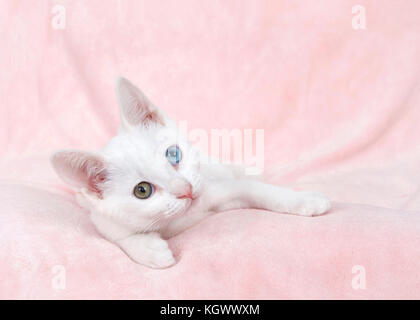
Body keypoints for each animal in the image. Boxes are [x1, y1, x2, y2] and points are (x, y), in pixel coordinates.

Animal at [50, 77, 330, 268]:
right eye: (142, 190)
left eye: (173, 155)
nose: (186, 190)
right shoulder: (101, 219)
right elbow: (118, 235)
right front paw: (147, 248)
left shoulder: (219, 190)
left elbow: (258, 190)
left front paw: (304, 200)